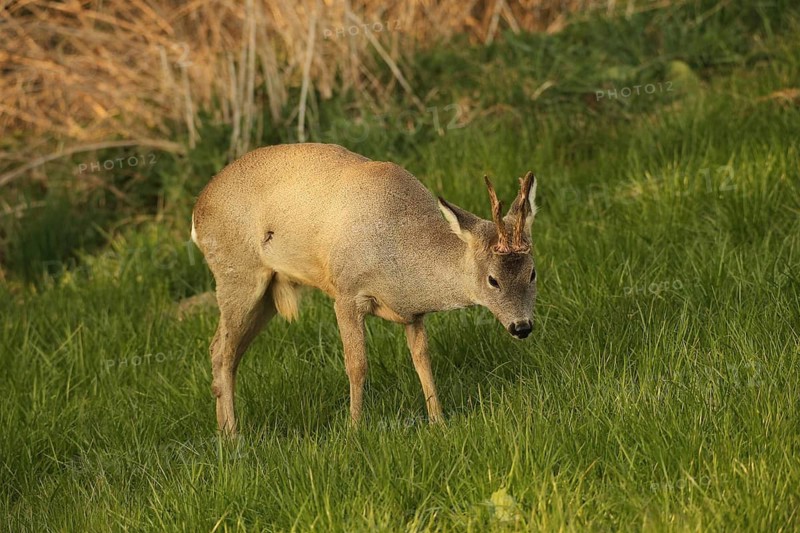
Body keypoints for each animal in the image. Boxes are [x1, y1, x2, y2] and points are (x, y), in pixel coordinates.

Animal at [191, 143, 538, 435]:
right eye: (493, 279)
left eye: (532, 272)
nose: (522, 326)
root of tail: (197, 211)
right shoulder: (346, 293)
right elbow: (357, 365)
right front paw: (354, 429)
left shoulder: (413, 313)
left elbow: (422, 360)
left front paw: (438, 420)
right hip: (237, 272)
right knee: (222, 352)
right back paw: (233, 438)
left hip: (266, 295)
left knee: (223, 350)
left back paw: (223, 433)